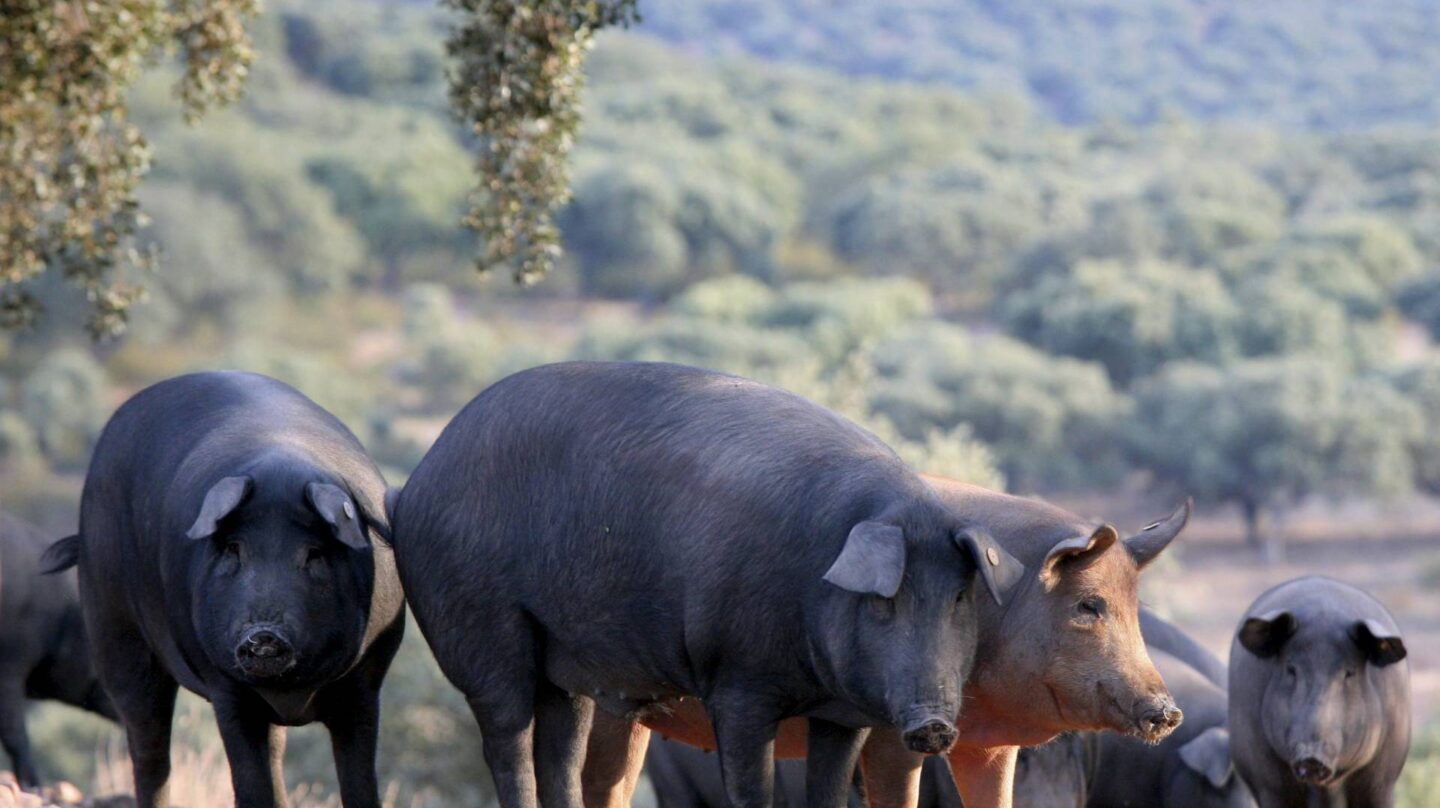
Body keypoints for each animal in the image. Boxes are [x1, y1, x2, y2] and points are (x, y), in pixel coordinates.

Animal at [43, 374, 406, 806]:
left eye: (314, 553)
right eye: (235, 549)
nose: (264, 634)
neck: (292, 692)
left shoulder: (365, 683)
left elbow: (360, 782)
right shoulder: (226, 687)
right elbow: (249, 784)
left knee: (274, 753)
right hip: (112, 626)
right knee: (147, 744)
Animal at [391, 364, 1025, 806]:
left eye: (959, 598)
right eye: (884, 602)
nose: (935, 724)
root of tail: (417, 480)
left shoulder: (843, 713)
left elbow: (827, 789)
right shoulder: (737, 682)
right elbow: (750, 788)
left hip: (562, 662)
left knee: (560, 748)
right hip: (476, 625)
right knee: (505, 736)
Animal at [1221, 573, 1411, 806]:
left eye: (1349, 673)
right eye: (1291, 669)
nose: (1311, 756)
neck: (1327, 790)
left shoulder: (1383, 780)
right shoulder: (1268, 784)